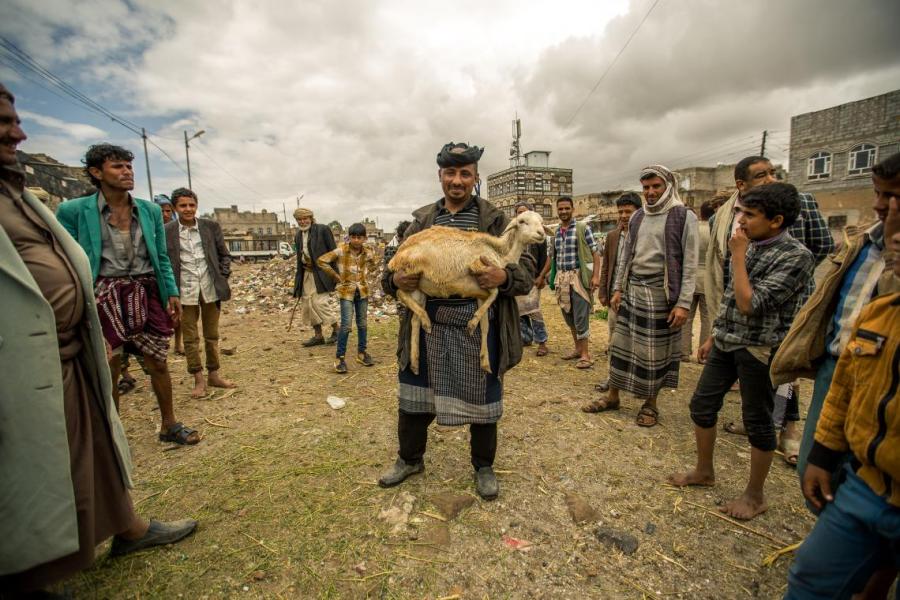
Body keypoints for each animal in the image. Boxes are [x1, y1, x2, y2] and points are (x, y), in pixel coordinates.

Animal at [384, 209, 544, 372]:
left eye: (541, 222)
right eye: (522, 221)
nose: (541, 233)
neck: (502, 255)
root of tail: (396, 255)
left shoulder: (482, 293)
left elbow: (485, 325)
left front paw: (485, 361)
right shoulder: (479, 268)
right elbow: (496, 293)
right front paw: (472, 323)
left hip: (419, 290)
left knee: (414, 320)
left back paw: (415, 360)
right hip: (410, 272)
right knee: (400, 293)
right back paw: (426, 321)